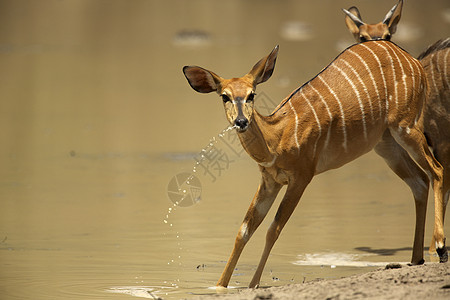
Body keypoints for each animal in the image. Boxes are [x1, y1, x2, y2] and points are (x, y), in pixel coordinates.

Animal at [183, 39, 446, 288]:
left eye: (251, 95)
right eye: (224, 96)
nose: (241, 121)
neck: (277, 137)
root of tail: (413, 61)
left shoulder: (301, 177)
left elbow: (273, 229)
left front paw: (253, 284)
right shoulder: (269, 181)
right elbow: (244, 231)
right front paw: (219, 286)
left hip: (406, 127)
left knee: (436, 170)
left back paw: (441, 248)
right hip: (386, 144)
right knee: (419, 181)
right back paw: (416, 259)